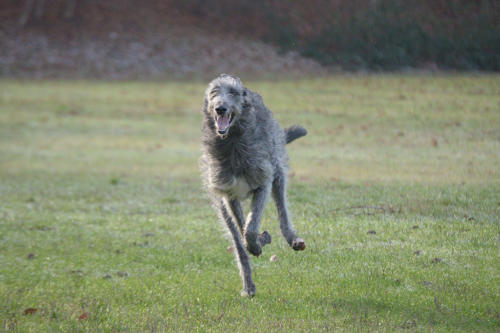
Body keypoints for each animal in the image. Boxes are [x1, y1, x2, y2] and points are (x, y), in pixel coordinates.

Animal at [201, 73, 306, 296]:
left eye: (233, 92)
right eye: (214, 92)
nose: (220, 108)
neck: (232, 142)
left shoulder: (262, 183)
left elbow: (250, 226)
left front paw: (258, 242)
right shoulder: (228, 195)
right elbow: (242, 230)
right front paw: (257, 242)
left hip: (277, 168)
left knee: (282, 210)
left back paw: (292, 239)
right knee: (237, 241)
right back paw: (248, 285)